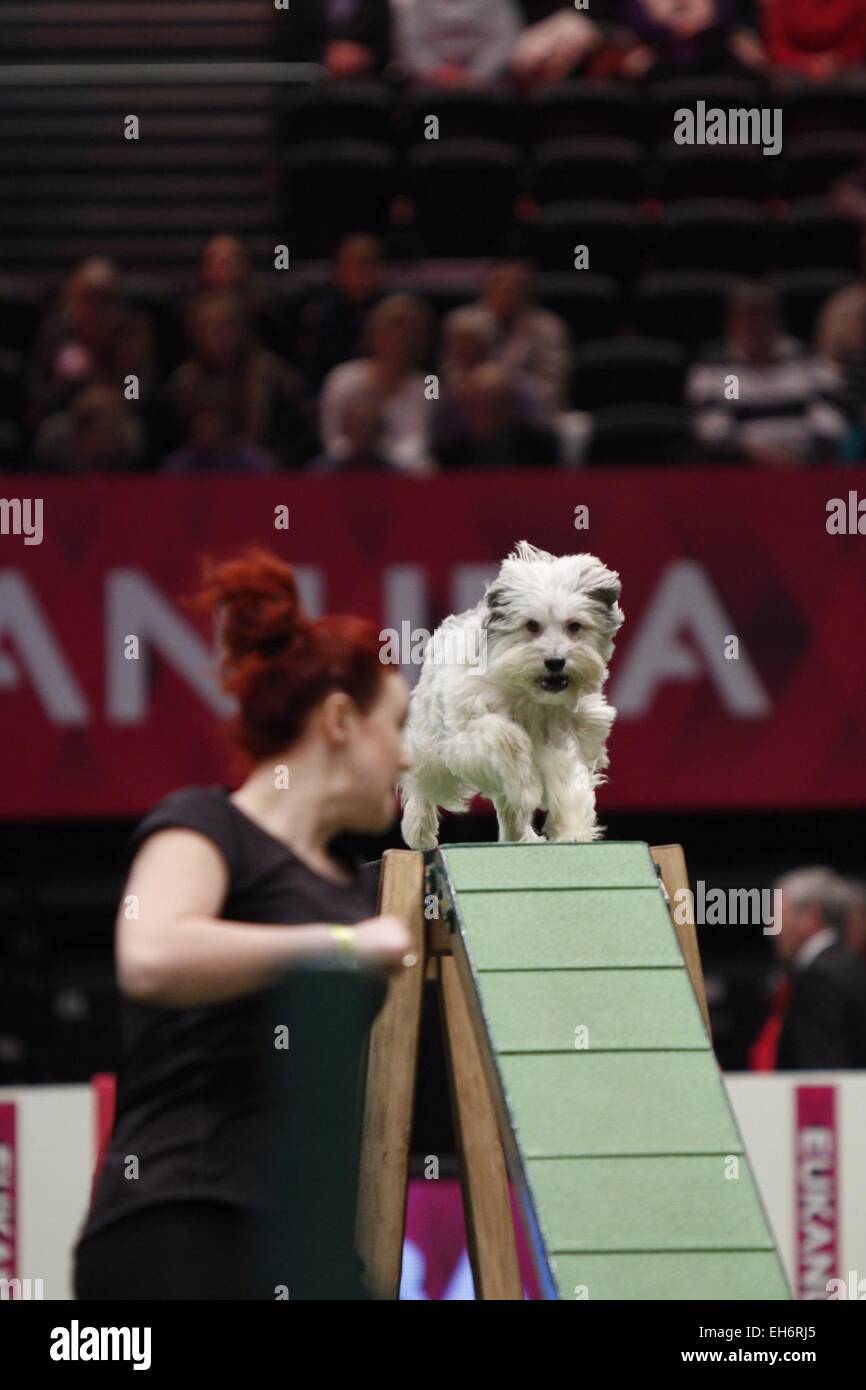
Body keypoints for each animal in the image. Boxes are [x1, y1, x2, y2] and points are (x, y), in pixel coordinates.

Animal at [400, 539, 622, 845]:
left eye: (574, 625)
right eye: (531, 625)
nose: (555, 661)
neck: (528, 694)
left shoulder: (566, 733)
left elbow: (567, 780)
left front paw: (572, 831)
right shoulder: (467, 734)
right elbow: (506, 738)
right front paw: (528, 787)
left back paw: (520, 835)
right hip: (432, 746)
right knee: (424, 782)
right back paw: (419, 828)